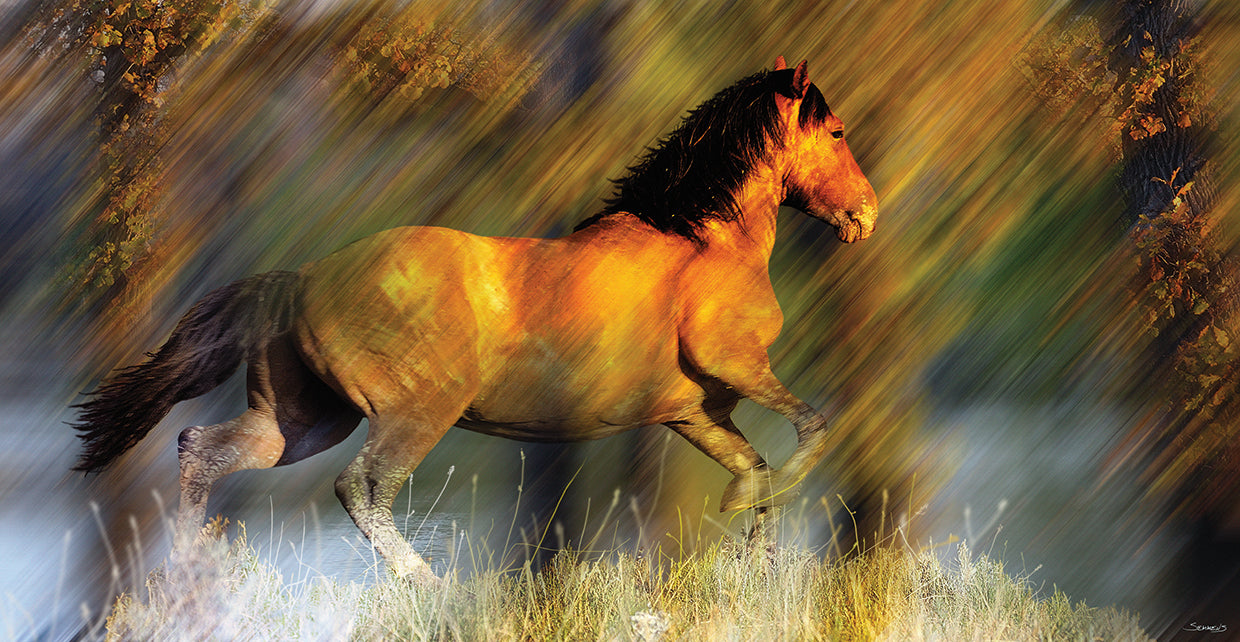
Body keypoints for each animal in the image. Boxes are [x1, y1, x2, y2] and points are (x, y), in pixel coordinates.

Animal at [72, 57, 877, 584]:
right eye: (837, 133)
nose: (865, 217)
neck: (702, 241)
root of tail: (299, 282)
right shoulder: (735, 364)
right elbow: (812, 430)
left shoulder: (694, 412)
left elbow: (761, 470)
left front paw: (752, 573)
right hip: (414, 412)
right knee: (360, 487)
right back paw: (427, 589)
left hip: (303, 420)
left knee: (202, 449)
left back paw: (186, 574)